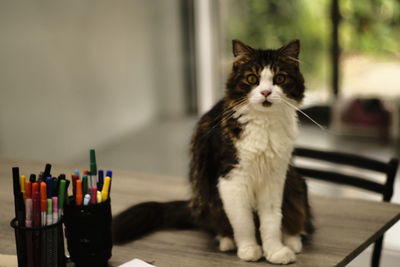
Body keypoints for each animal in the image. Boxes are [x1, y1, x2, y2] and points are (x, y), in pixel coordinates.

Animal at [111, 39, 312, 266]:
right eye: (252, 78)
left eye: (280, 78)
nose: (266, 93)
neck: (264, 124)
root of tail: (193, 205)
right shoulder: (231, 178)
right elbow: (243, 222)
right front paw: (249, 249)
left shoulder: (275, 178)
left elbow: (271, 220)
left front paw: (275, 250)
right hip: (208, 197)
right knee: (221, 226)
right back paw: (227, 241)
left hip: (295, 183)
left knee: (297, 218)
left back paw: (293, 242)